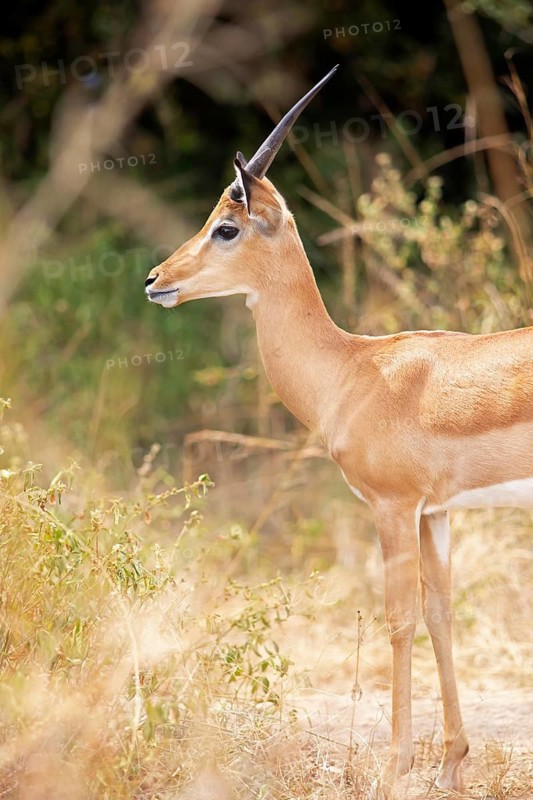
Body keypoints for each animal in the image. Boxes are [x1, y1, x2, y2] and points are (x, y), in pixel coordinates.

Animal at [145, 66, 533, 794]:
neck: (354, 371)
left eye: (226, 227)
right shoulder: (435, 513)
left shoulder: (391, 507)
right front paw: (451, 763)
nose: (156, 279)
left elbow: (398, 620)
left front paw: (393, 767)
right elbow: (440, 614)